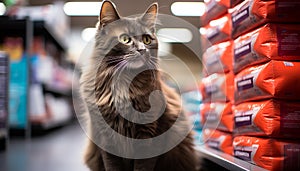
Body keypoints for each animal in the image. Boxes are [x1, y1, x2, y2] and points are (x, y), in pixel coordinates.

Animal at [78, 0, 198, 170]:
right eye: (125, 39)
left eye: (147, 39)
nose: (142, 50)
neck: (123, 82)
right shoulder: (104, 135)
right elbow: (112, 165)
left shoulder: (149, 133)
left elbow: (143, 166)